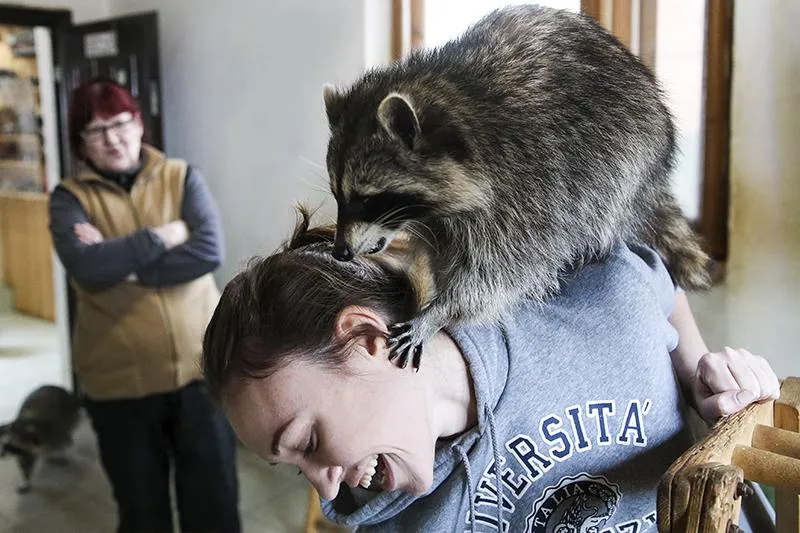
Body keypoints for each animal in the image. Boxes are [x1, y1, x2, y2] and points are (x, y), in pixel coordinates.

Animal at [322, 5, 708, 370]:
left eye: (367, 198)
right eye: (338, 195)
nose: (340, 250)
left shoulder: (530, 190)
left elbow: (502, 271)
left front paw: (440, 311)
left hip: (631, 156)